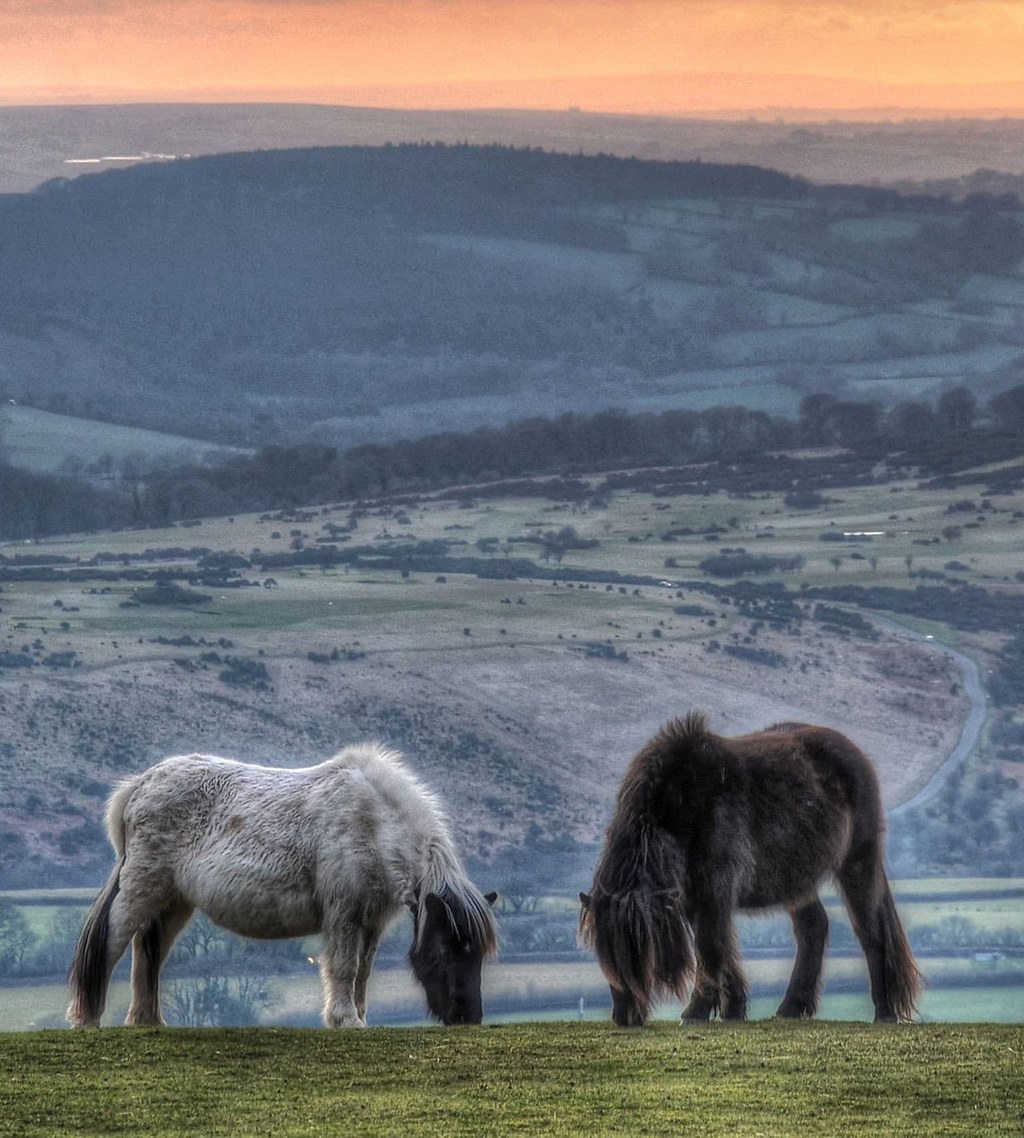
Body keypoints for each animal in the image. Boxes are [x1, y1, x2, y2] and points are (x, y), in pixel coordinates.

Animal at [68, 743, 498, 1028]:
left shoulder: (371, 922)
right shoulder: (344, 916)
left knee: (148, 954)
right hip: (142, 888)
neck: (374, 825)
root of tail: (140, 784)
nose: (468, 1018)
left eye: (476, 954)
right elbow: (343, 967)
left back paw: (147, 1021)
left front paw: (358, 1016)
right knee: (112, 942)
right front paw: (345, 1020)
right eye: (448, 949)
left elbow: (362, 971)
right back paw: (87, 1019)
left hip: (173, 903)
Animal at [579, 712, 921, 1027]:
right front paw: (732, 1009)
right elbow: (720, 947)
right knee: (813, 927)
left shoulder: (715, 889)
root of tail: (852, 753)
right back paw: (791, 1007)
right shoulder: (694, 898)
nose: (624, 1018)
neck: (684, 801)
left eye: (637, 950)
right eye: (602, 952)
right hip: (796, 880)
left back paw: (884, 1012)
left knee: (870, 932)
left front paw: (696, 1011)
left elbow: (711, 946)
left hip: (857, 862)